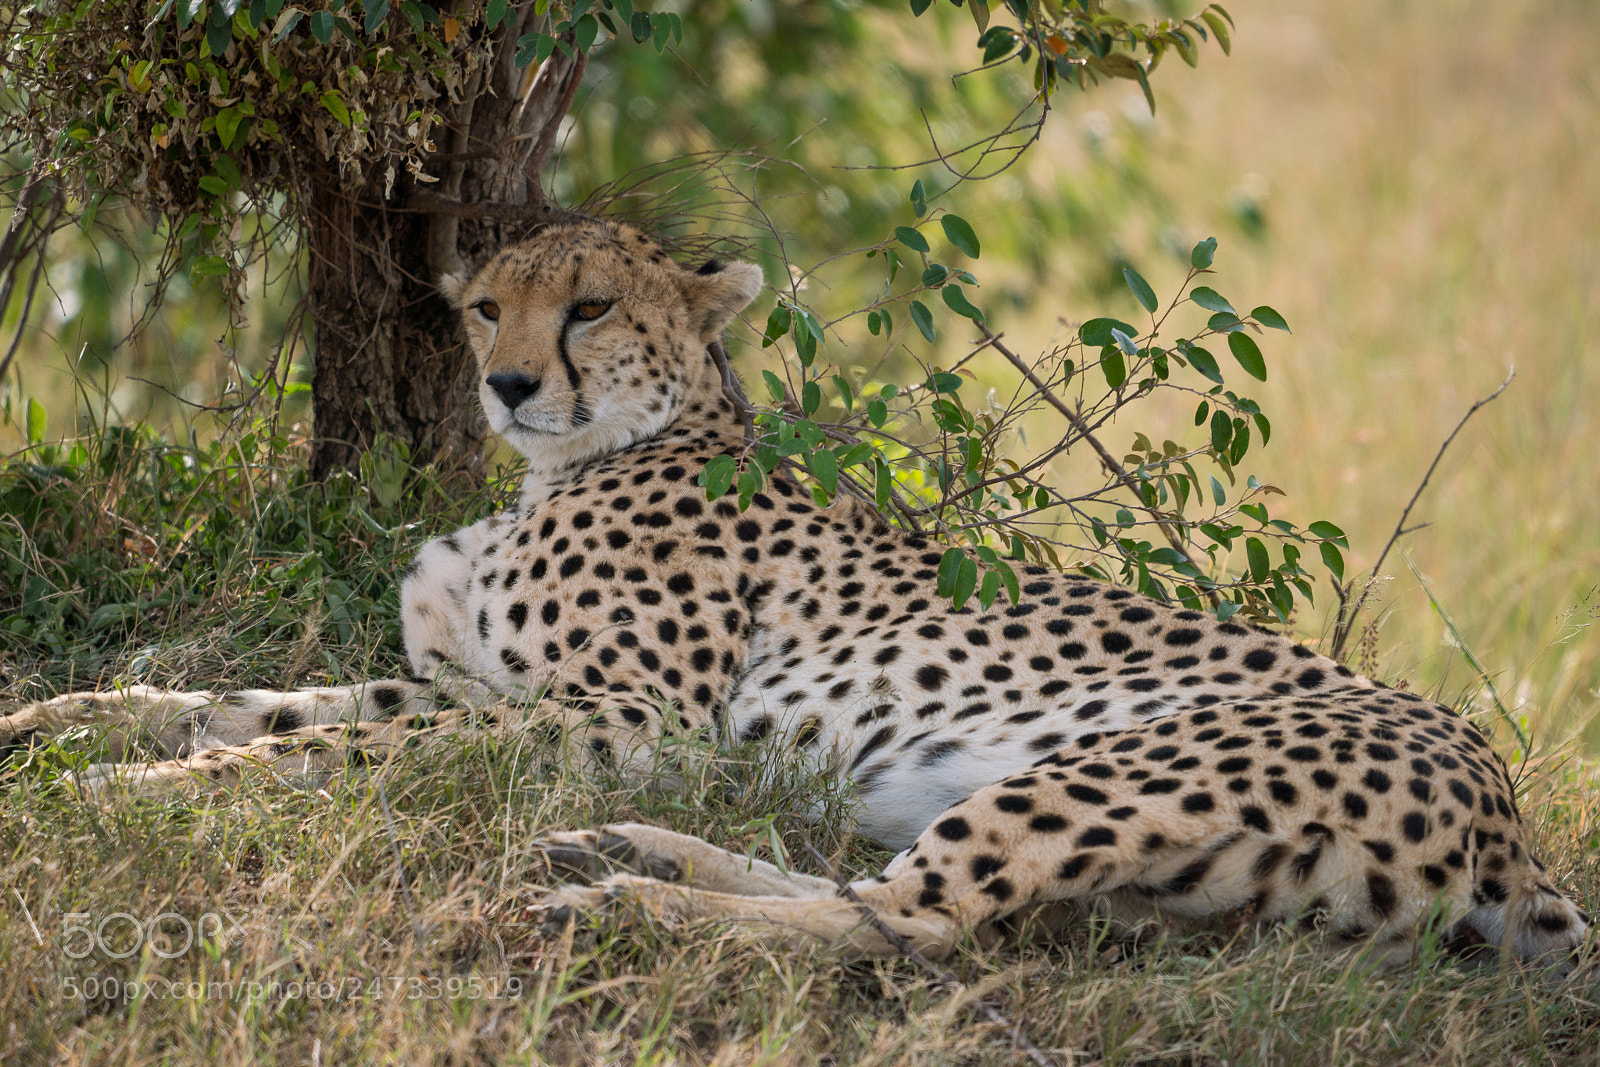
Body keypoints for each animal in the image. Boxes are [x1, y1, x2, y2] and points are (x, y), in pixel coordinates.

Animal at [3, 218, 1588, 969]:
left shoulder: (625, 713)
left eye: (589, 306)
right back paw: (626, 851)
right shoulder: (480, 681)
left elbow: (328, 746)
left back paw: (625, 898)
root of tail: (1507, 820)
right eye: (486, 305)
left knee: (919, 921)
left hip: (1117, 766)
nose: (504, 383)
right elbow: (245, 698)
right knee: (879, 889)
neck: (571, 460)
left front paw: (138, 796)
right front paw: (65, 725)